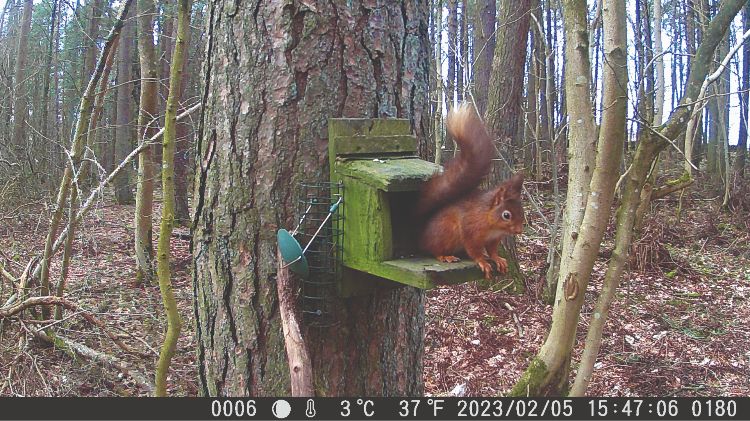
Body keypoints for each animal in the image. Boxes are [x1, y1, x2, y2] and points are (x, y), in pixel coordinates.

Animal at [418, 102, 528, 278]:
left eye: (522, 211)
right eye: (506, 215)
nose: (518, 230)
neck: (493, 225)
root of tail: (420, 237)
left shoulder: (493, 239)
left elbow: (492, 250)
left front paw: (497, 259)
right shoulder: (470, 230)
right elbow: (473, 249)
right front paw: (482, 261)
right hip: (446, 233)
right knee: (435, 250)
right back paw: (446, 256)